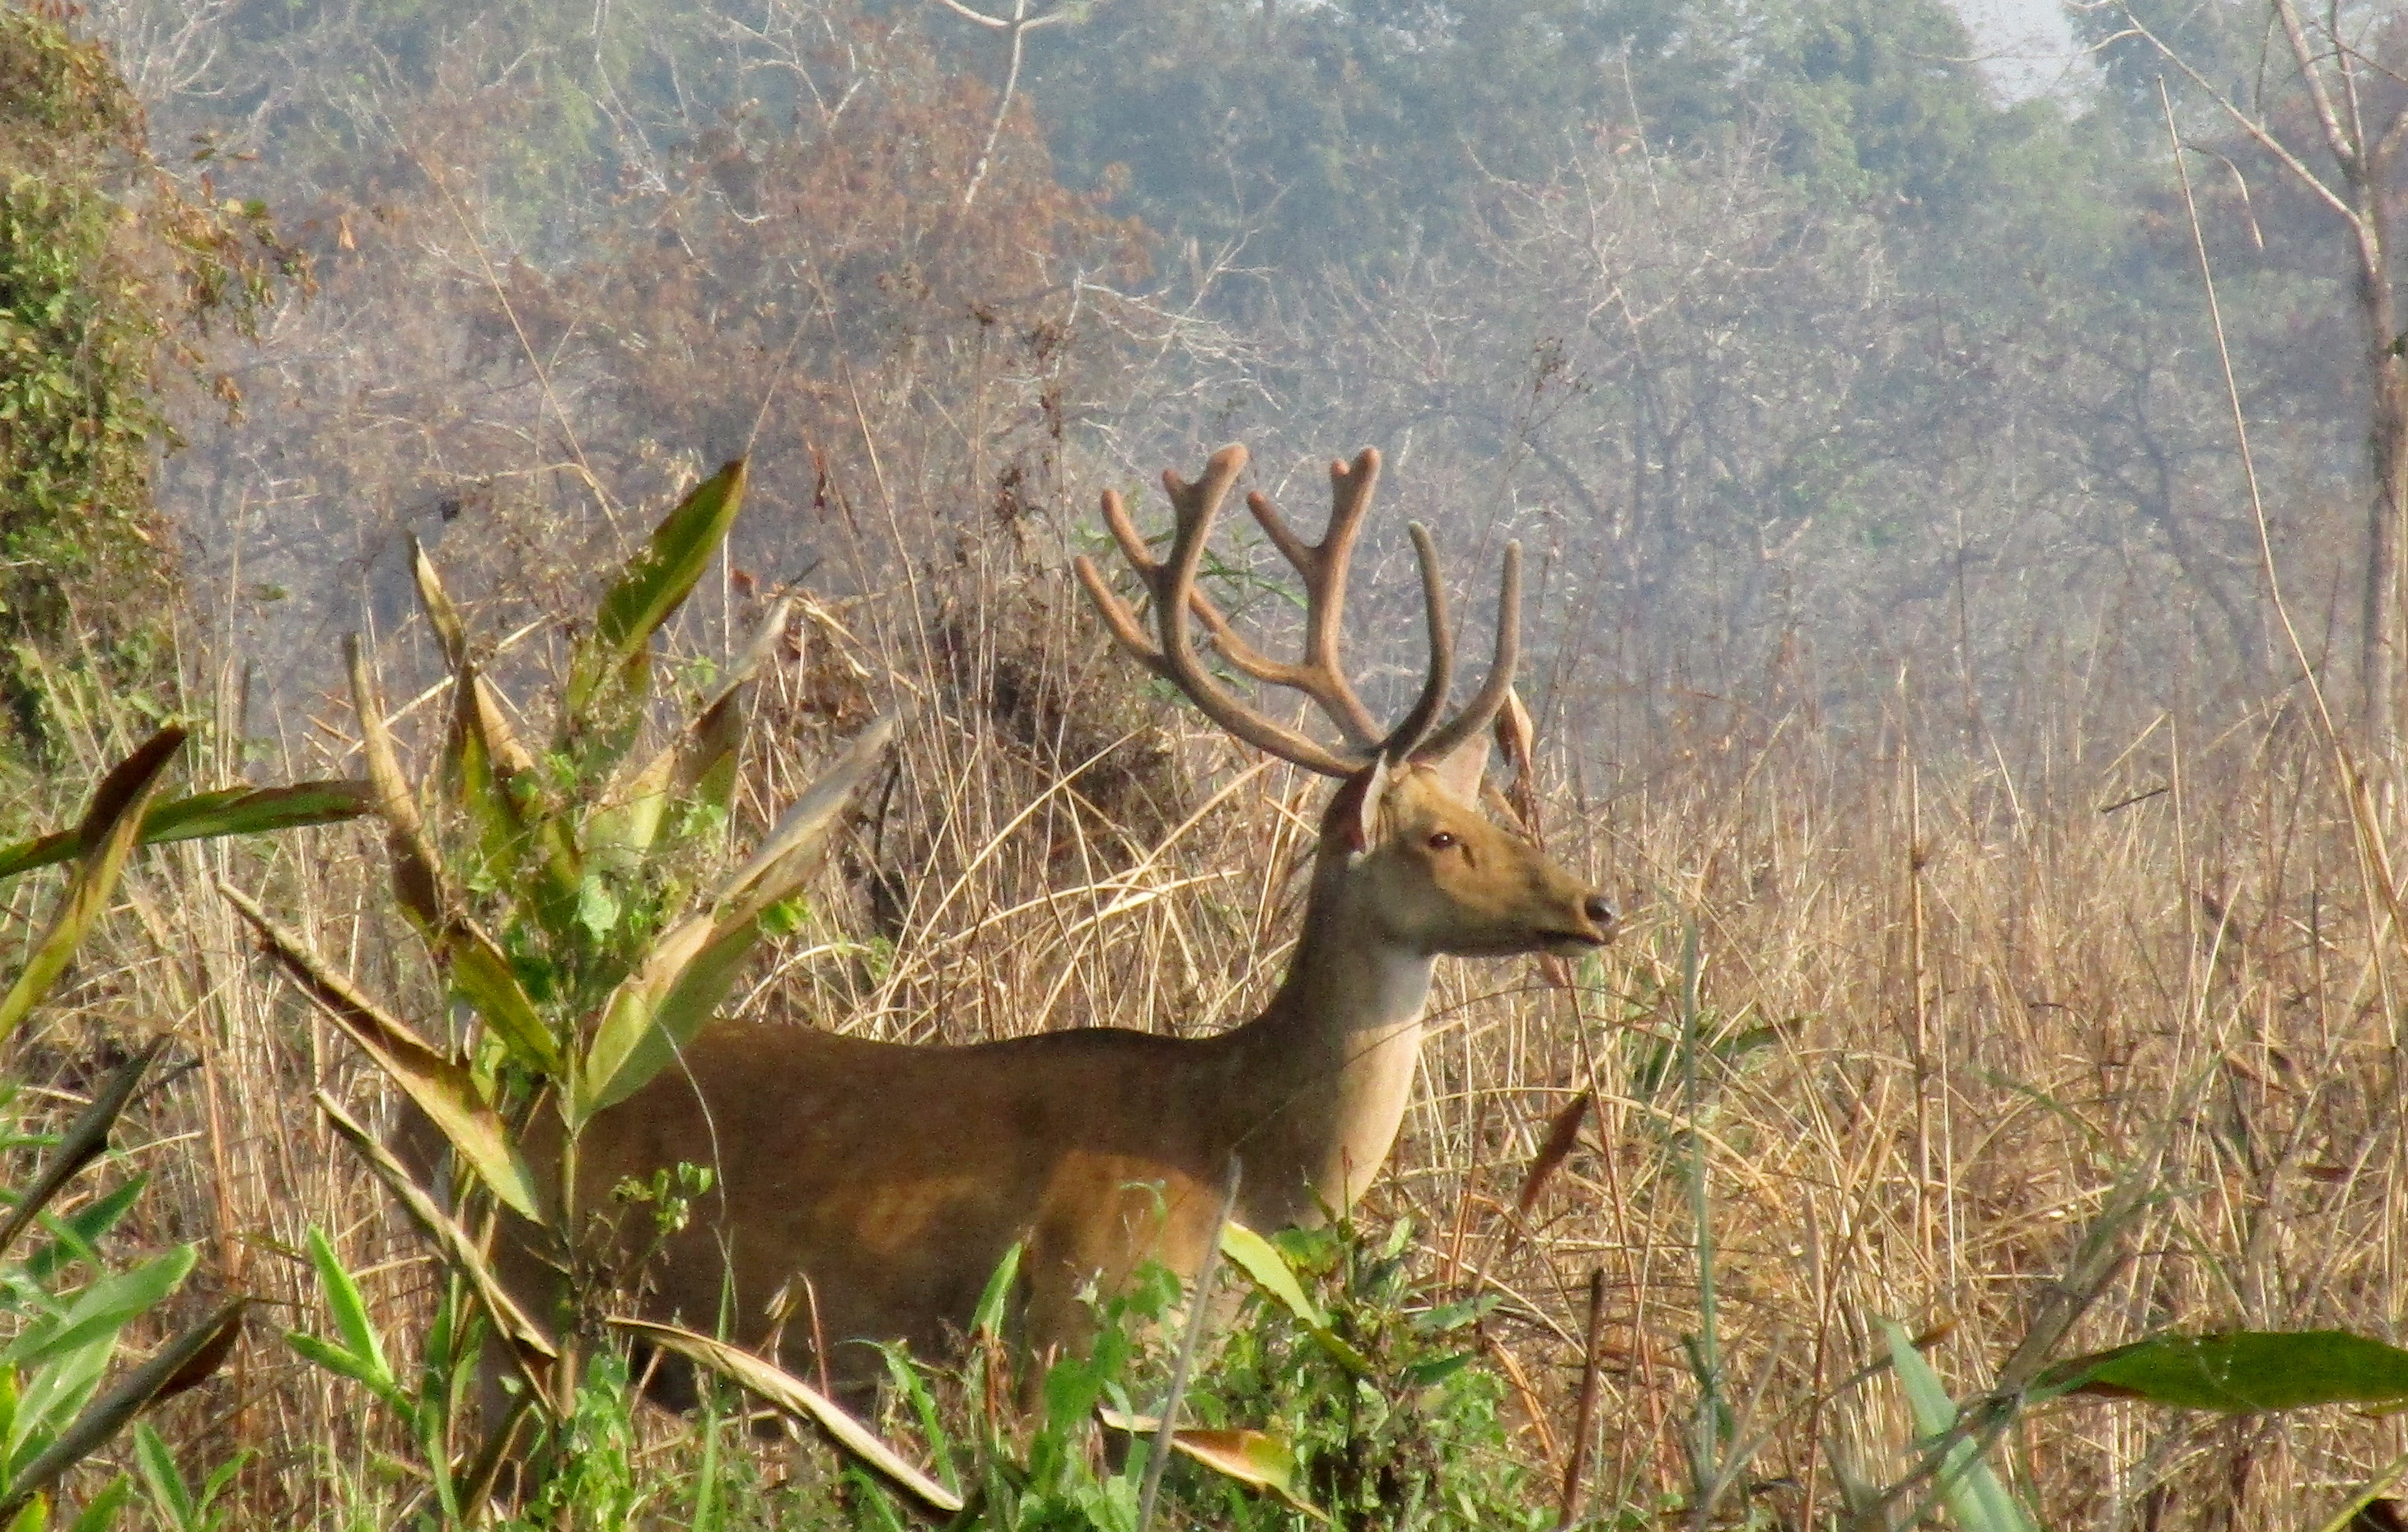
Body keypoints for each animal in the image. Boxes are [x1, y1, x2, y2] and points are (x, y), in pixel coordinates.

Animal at [506, 443, 1619, 1401]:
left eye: (1487, 811)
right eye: (1438, 836)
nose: (1595, 904)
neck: (1233, 1164)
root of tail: (517, 1089)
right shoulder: (1075, 1325)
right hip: (532, 1302)